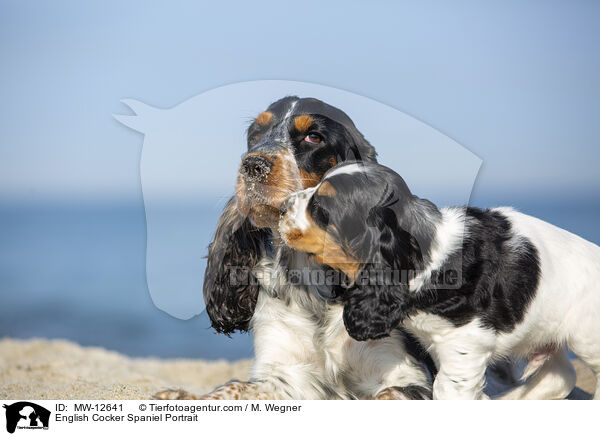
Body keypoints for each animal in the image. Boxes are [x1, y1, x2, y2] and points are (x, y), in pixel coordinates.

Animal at [280, 160, 600, 398]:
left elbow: (447, 391)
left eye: (321, 208)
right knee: (560, 376)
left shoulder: (466, 346)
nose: (281, 207)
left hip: (586, 337)